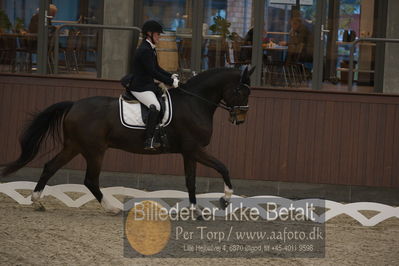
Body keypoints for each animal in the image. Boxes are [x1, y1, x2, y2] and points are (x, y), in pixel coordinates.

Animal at [1, 66, 255, 214]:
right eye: (242, 91)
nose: (241, 119)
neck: (195, 102)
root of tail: (74, 105)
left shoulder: (189, 152)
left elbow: (194, 179)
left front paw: (196, 209)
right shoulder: (194, 149)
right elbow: (219, 168)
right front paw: (223, 200)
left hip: (74, 146)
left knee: (50, 167)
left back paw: (37, 201)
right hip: (94, 150)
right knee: (90, 180)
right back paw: (112, 208)